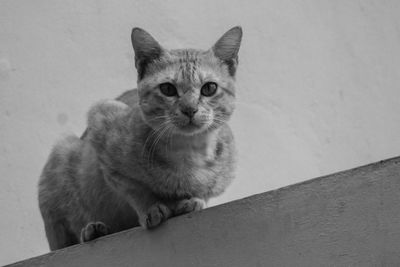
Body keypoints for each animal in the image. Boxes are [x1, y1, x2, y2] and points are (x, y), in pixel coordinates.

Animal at [39, 26, 242, 250]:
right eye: (168, 89)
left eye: (209, 88)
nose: (190, 109)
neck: (188, 152)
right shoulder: (101, 119)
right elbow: (134, 188)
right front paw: (152, 208)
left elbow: (205, 192)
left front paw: (194, 200)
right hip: (61, 153)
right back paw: (92, 230)